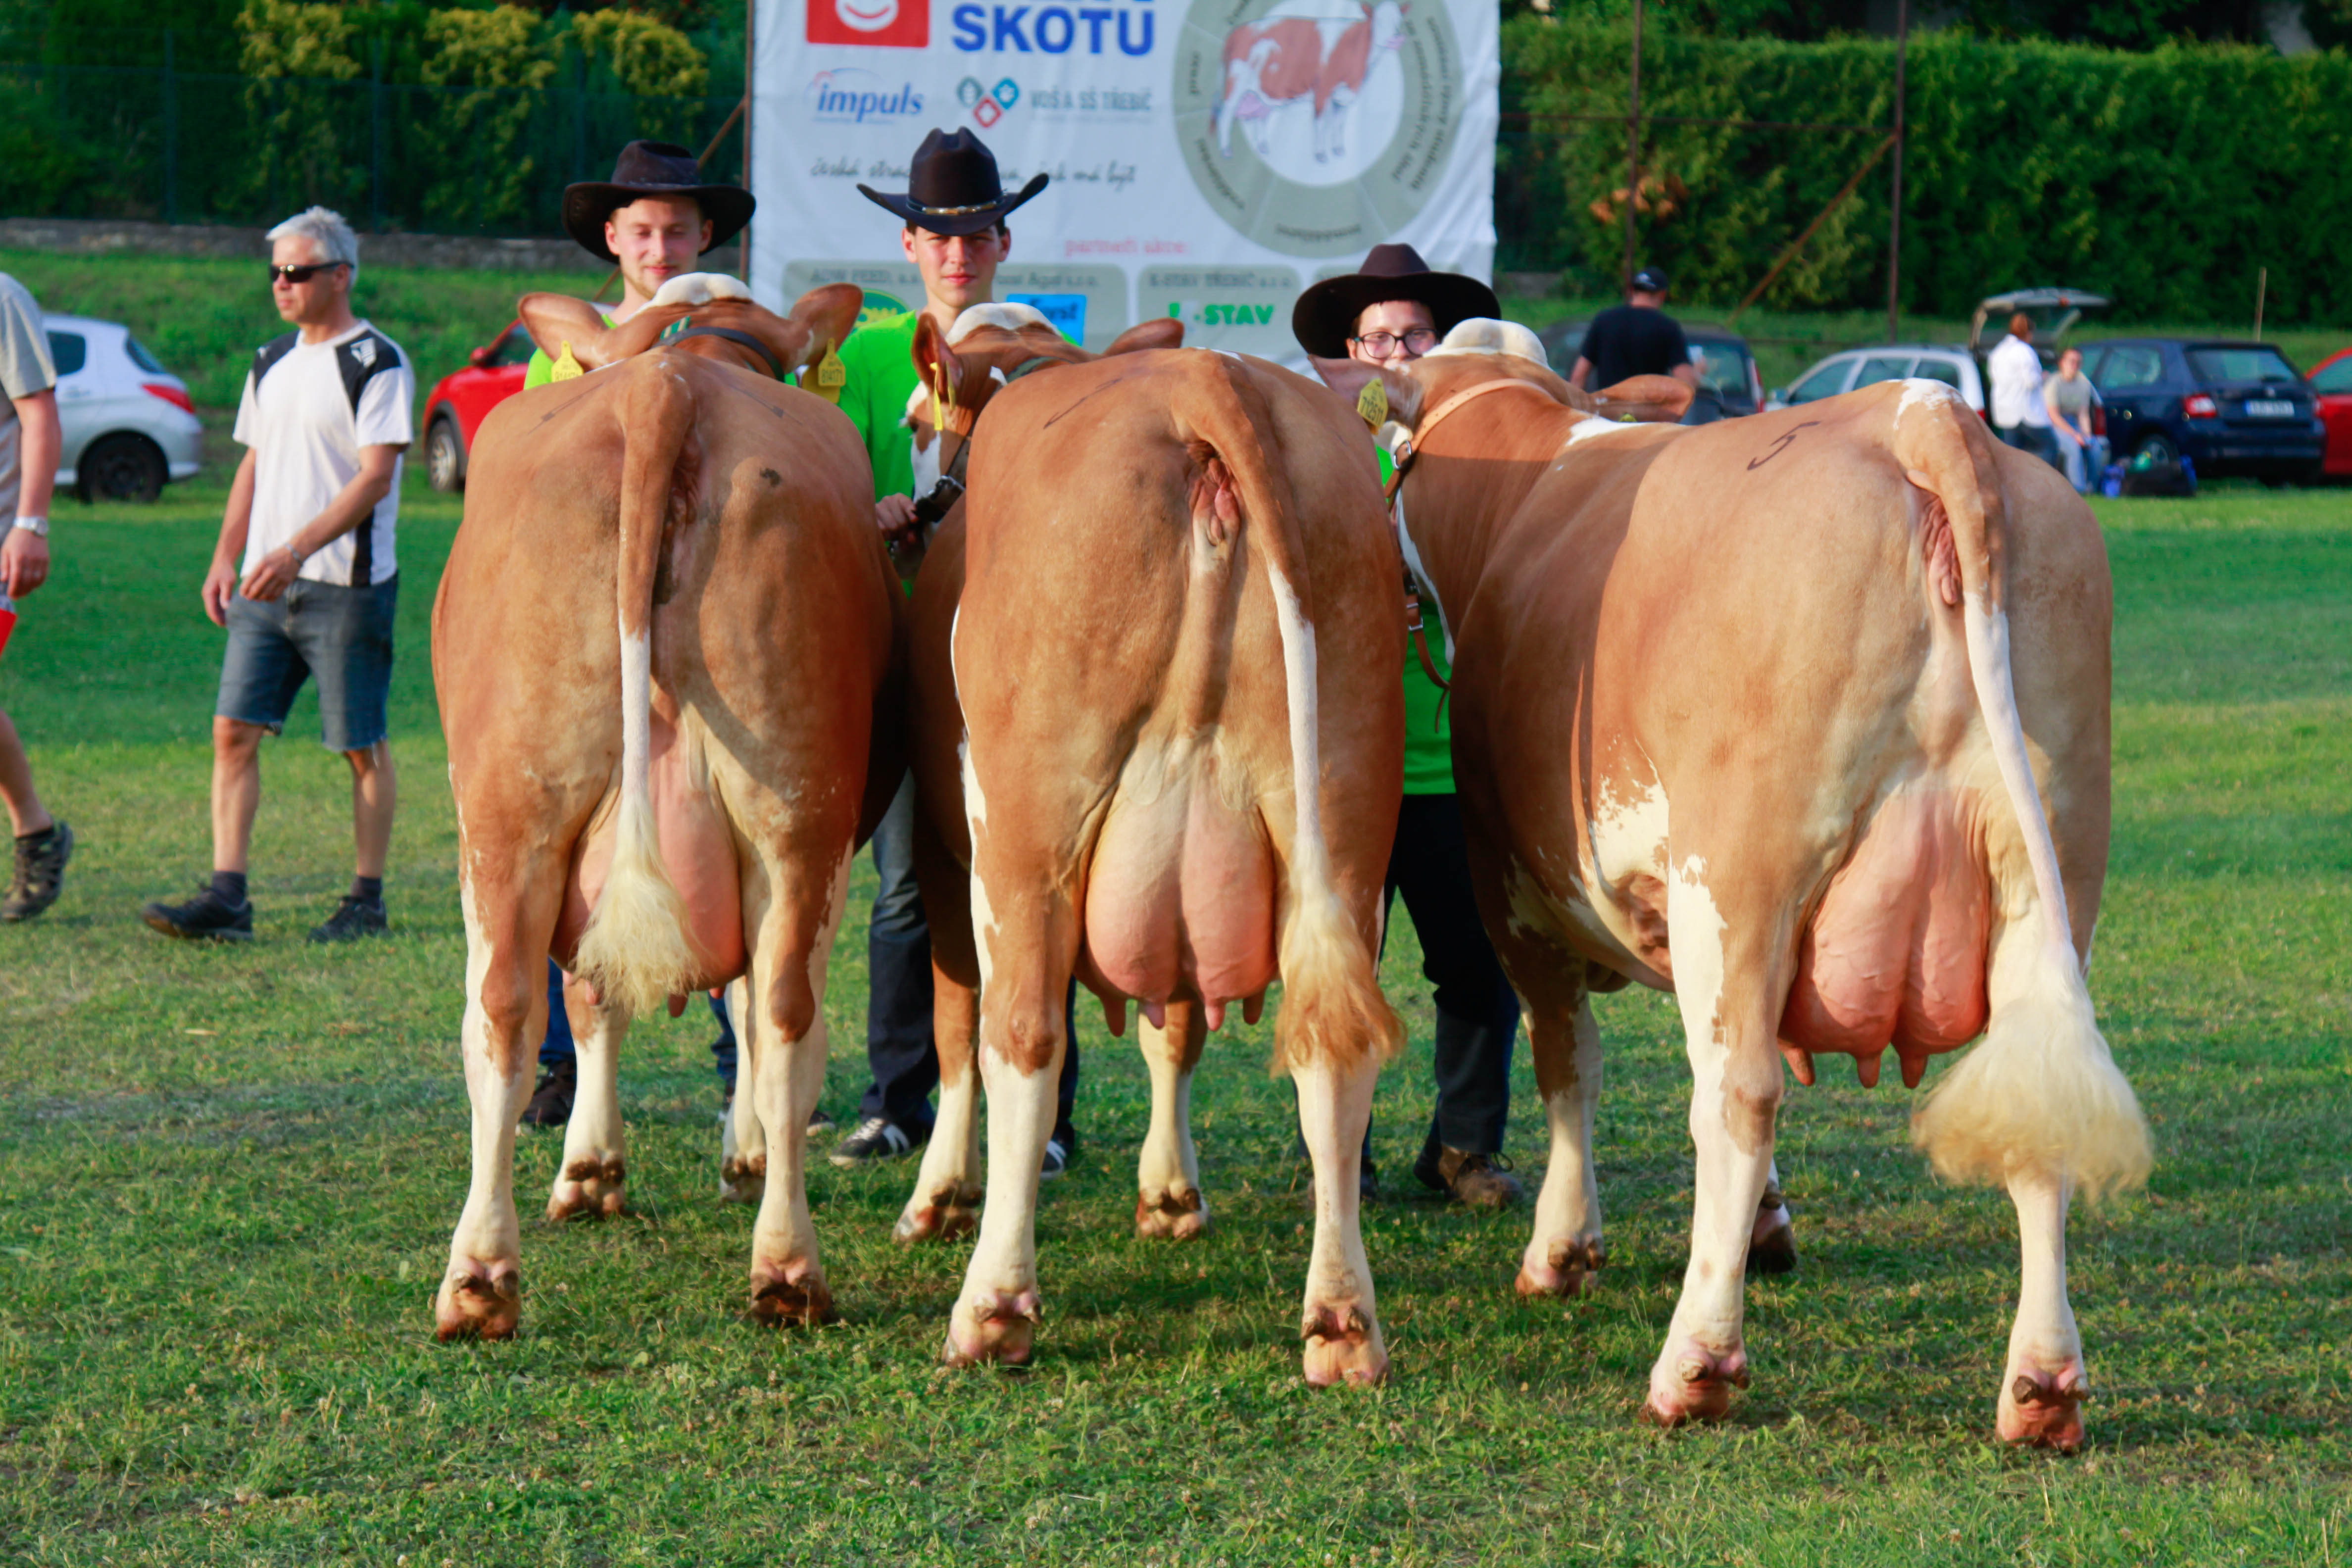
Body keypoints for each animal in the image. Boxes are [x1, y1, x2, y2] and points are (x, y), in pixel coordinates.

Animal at [430, 274, 900, 1341]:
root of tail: (665, 387)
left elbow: (595, 994)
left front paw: (591, 1167)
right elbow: (737, 1016)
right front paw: (734, 1155)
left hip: (511, 814)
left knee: (503, 1010)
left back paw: (479, 1275)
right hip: (797, 822)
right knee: (783, 1014)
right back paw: (787, 1265)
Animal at [890, 303, 1409, 1384]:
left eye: (915, 416)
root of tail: (1207, 381)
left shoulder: (942, 845)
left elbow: (956, 1027)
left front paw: (936, 1197)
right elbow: (1173, 1025)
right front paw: (1171, 1193)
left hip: (1025, 833)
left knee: (1021, 1032)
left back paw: (991, 1308)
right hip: (1344, 823)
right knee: (1335, 1044)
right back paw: (1342, 1322)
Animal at [1213, 1, 1407, 165]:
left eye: (1399, 21)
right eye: (1379, 21)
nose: (1396, 39)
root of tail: (1238, 30)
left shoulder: (1345, 95)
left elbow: (1339, 123)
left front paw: (1339, 150)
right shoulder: (1323, 89)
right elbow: (1321, 124)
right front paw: (1321, 155)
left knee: (1261, 115)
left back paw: (1263, 147)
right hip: (1236, 83)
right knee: (1225, 115)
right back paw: (1226, 151)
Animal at [1373, 318, 2151, 1446]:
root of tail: (1923, 413)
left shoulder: (1512, 887)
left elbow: (1570, 1066)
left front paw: (1562, 1249)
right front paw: (1768, 1229)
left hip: (1739, 877)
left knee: (1736, 1093)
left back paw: (1693, 1363)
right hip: (2049, 879)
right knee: (2034, 1102)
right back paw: (2042, 1386)